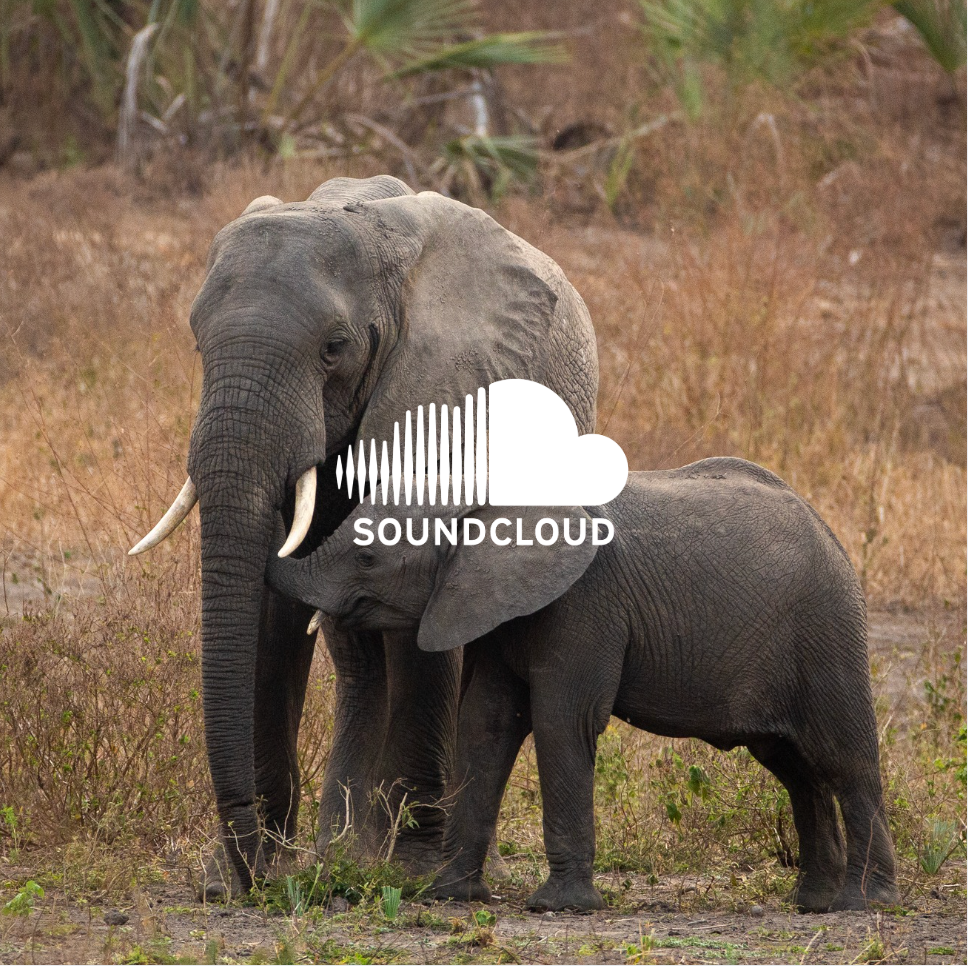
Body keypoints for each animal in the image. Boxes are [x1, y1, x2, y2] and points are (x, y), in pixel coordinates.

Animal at [127, 176, 599, 896]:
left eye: (334, 348)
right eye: (198, 343)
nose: (252, 872)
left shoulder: (445, 393)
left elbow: (416, 615)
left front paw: (409, 871)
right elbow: (270, 615)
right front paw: (238, 876)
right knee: (358, 660)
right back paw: (341, 851)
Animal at [265, 457, 901, 913]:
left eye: (367, 557)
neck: (490, 487)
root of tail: (832, 535)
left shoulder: (583, 603)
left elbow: (560, 721)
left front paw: (559, 907)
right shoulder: (493, 604)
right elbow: (486, 723)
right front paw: (449, 896)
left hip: (827, 632)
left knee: (843, 762)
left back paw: (863, 905)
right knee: (796, 769)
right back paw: (812, 904)